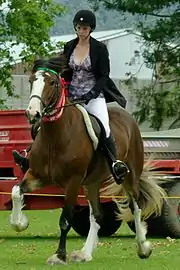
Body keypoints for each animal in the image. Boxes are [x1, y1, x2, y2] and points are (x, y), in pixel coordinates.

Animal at [9, 56, 167, 264]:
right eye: (31, 80)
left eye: (51, 82)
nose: (32, 113)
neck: (55, 137)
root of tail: (128, 118)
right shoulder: (37, 175)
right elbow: (15, 191)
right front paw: (19, 223)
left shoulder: (73, 182)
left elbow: (65, 220)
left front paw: (59, 255)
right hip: (91, 182)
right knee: (98, 215)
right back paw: (85, 253)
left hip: (129, 176)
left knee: (136, 207)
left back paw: (143, 248)